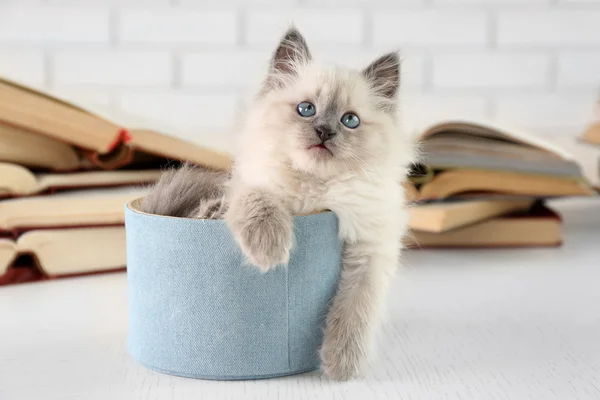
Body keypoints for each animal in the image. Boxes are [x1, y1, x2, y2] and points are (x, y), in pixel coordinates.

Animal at [143, 27, 420, 378]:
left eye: (350, 121)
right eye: (306, 109)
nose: (324, 132)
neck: (315, 189)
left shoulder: (370, 249)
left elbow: (355, 309)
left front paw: (341, 365)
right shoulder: (251, 185)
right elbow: (261, 202)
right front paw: (270, 251)